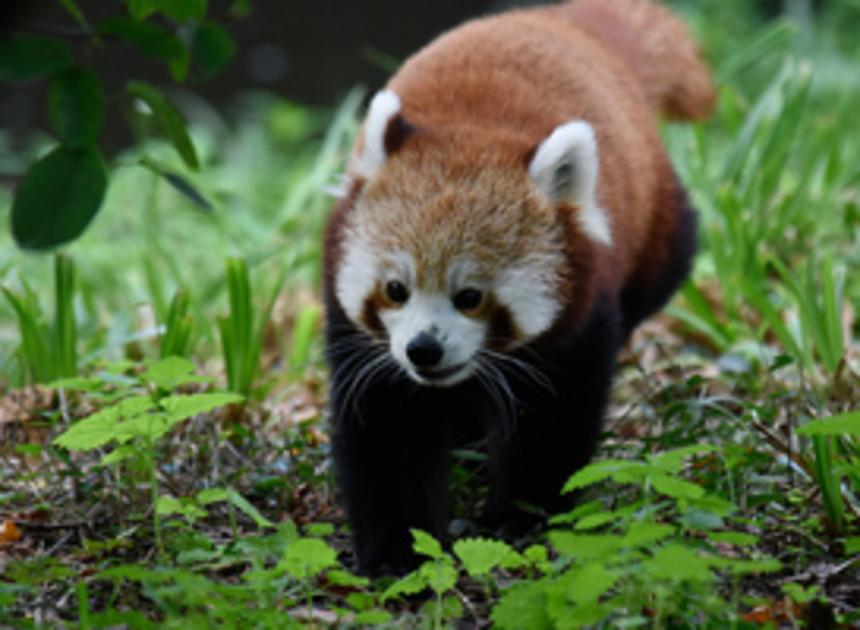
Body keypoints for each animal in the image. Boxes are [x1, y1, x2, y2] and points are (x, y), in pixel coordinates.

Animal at [322, 0, 712, 576]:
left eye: (470, 297)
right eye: (395, 289)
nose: (423, 350)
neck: (474, 126)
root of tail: (563, 22)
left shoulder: (579, 313)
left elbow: (549, 426)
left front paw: (517, 519)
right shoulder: (362, 339)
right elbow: (388, 436)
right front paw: (398, 551)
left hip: (658, 225)